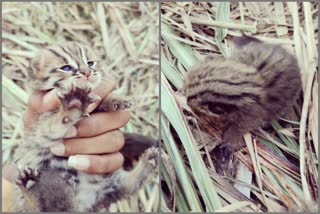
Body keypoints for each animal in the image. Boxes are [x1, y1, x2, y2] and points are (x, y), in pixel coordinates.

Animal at [13, 42, 159, 211]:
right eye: (66, 68)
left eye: (90, 63)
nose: (88, 72)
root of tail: (79, 205)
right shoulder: (41, 129)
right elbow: (54, 124)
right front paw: (73, 106)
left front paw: (114, 99)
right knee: (39, 206)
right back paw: (29, 184)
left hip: (108, 186)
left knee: (128, 186)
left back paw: (148, 161)